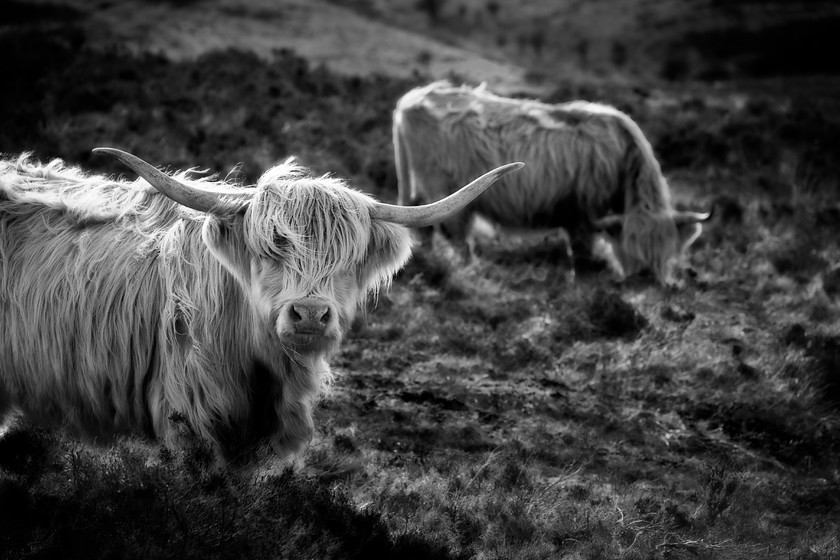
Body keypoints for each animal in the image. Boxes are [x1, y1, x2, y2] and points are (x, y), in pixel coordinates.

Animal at [394, 81, 708, 284]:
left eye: (664, 252)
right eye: (633, 249)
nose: (646, 281)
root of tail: (412, 99)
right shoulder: (583, 215)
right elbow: (581, 253)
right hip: (444, 190)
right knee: (456, 237)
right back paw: (468, 273)